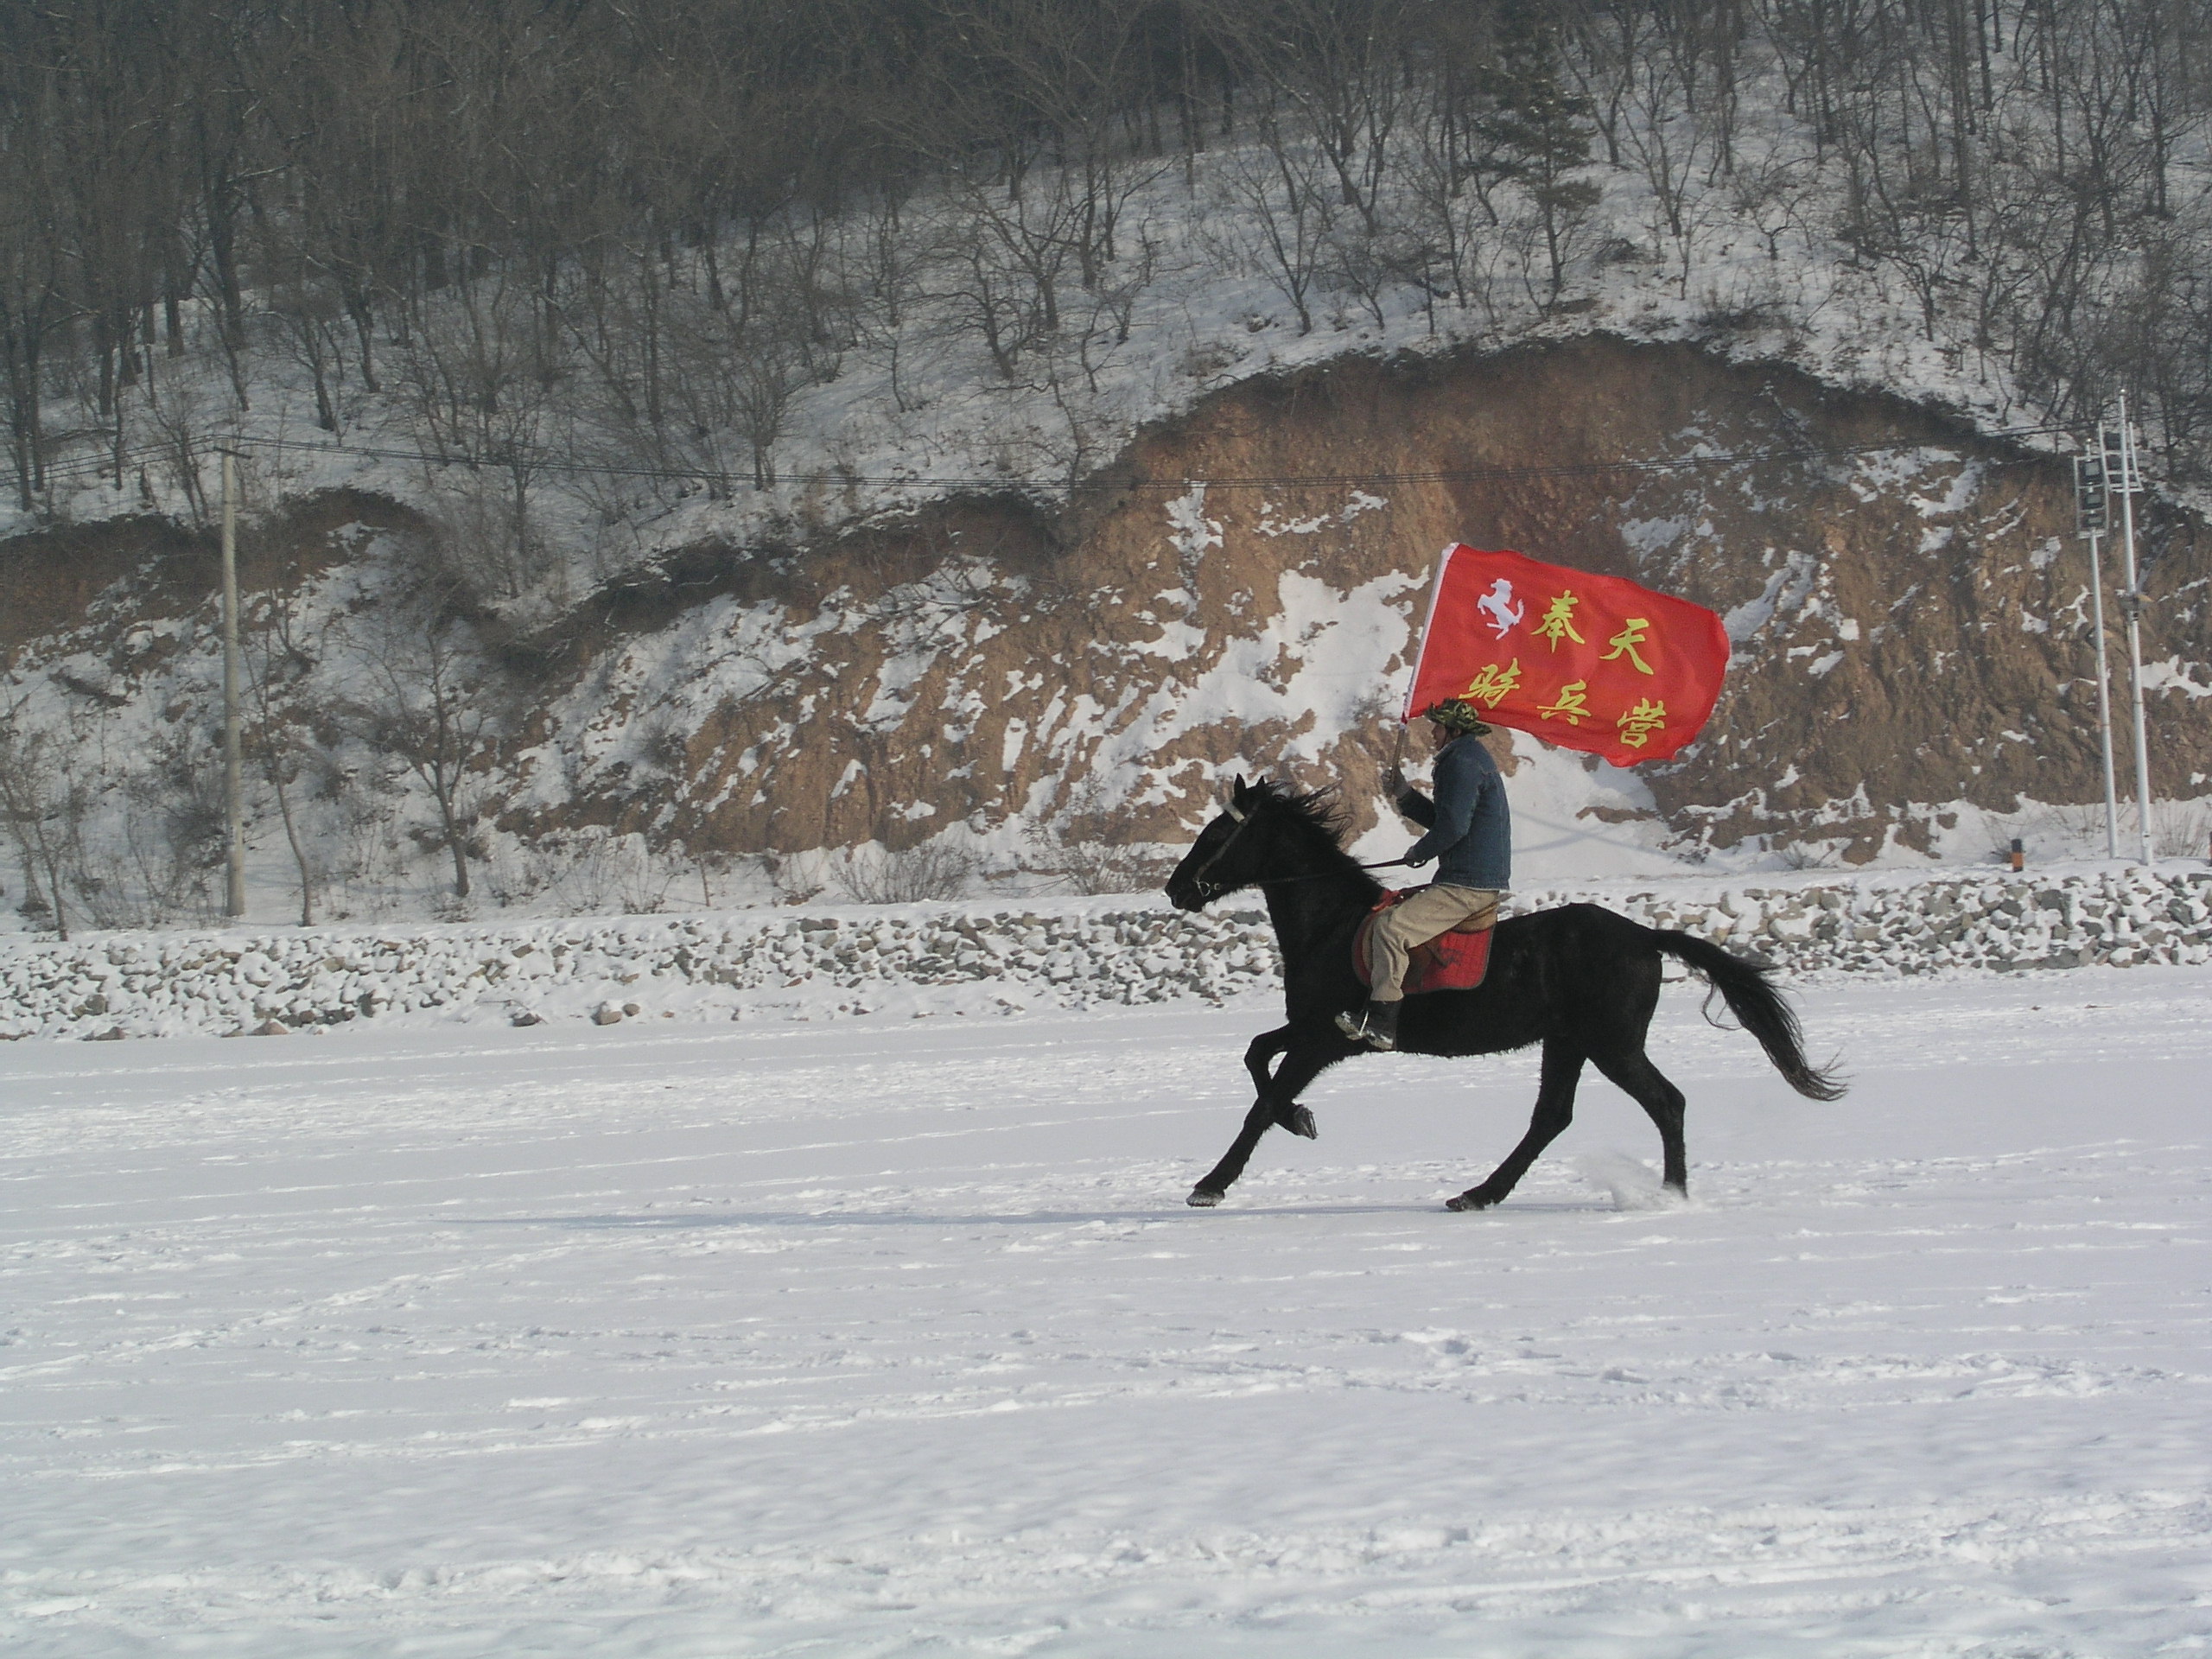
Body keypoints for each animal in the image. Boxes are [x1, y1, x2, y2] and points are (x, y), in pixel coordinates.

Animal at [1167, 774, 1840, 1211]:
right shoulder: (1310, 1027)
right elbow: (1257, 1054)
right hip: (1568, 1041)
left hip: (1610, 1043)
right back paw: (1480, 1193)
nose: (1176, 889)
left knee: (1664, 1103)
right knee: (1553, 1117)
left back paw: (1671, 1196)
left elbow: (1262, 1102)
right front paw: (1301, 1119)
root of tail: (1645, 935)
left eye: (1214, 836)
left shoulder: (1328, 1038)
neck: (1333, 922)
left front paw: (1213, 1182)